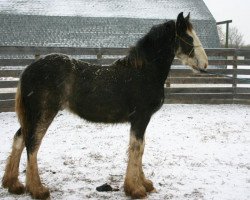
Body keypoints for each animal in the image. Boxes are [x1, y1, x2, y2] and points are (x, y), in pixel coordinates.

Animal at [2, 12, 207, 198]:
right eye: (189, 38)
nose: (205, 65)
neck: (143, 72)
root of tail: (28, 69)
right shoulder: (141, 118)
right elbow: (137, 148)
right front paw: (136, 189)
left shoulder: (140, 121)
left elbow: (140, 148)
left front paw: (145, 184)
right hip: (43, 113)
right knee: (32, 144)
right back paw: (38, 190)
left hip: (32, 115)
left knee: (20, 138)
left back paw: (14, 185)